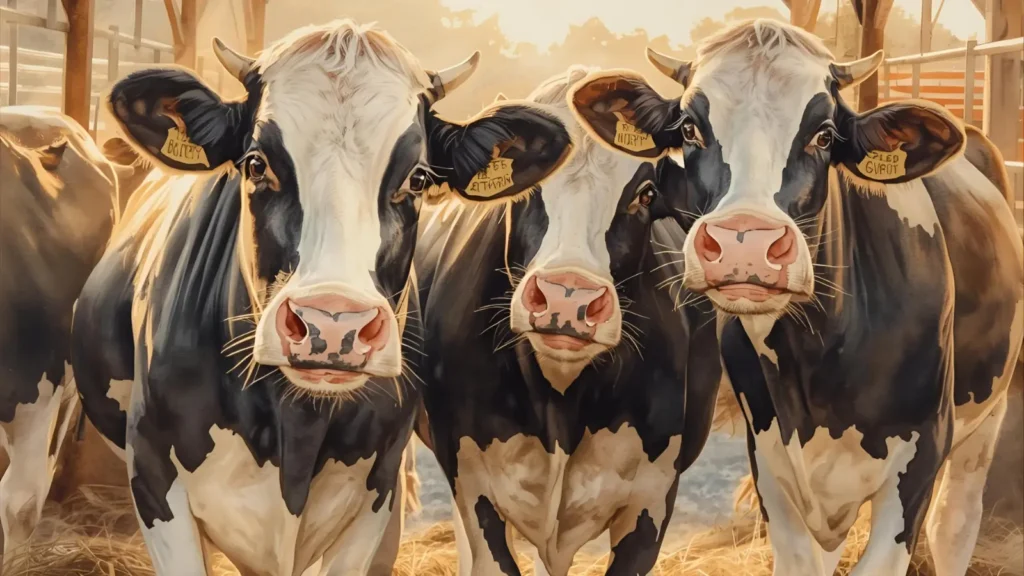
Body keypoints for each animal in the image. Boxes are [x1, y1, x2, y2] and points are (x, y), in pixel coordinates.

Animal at [69, 20, 574, 576]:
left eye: (418, 178)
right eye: (255, 164)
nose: (333, 324)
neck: (294, 426)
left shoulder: (377, 487)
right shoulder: (153, 471)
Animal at [413, 66, 722, 576]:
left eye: (646, 194)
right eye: (526, 187)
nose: (566, 295)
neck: (559, 401)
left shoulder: (653, 499)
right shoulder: (473, 484)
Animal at [570, 19, 1023, 576]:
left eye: (824, 135)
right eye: (690, 129)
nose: (746, 242)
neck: (821, 353)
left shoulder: (923, 451)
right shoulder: (771, 458)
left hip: (986, 417)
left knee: (954, 522)